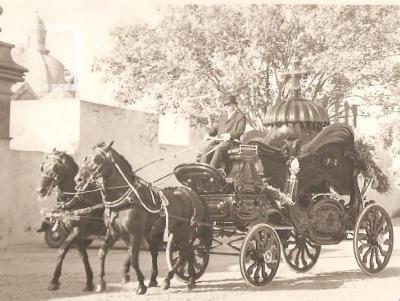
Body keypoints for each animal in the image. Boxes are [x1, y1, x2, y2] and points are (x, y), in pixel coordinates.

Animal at [36, 149, 106, 290]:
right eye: (43, 166)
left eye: (56, 167)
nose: (40, 190)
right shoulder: (75, 234)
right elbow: (83, 256)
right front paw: (89, 282)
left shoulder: (77, 230)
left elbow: (61, 251)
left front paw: (54, 281)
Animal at [75, 142, 212, 294]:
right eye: (86, 157)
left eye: (98, 159)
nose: (78, 179)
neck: (126, 200)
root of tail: (192, 193)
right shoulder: (114, 232)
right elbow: (102, 252)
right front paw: (101, 282)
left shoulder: (136, 233)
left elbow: (134, 258)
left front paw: (141, 285)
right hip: (173, 231)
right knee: (185, 252)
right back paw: (181, 279)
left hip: (184, 230)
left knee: (186, 252)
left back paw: (181, 279)